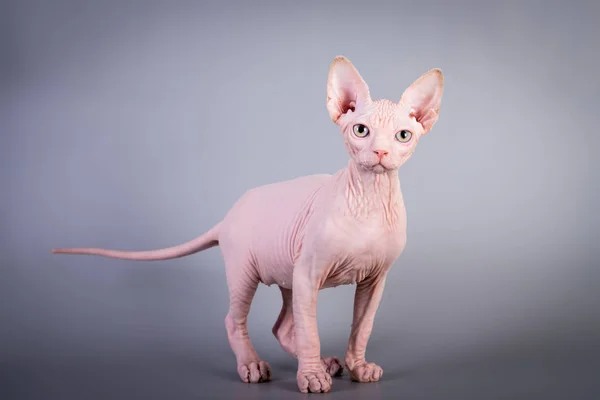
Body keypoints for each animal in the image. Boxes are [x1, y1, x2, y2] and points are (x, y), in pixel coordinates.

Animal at [52, 55, 446, 394]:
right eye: (361, 130)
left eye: (403, 136)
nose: (380, 153)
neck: (370, 198)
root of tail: (229, 215)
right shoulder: (310, 272)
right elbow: (311, 330)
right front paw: (311, 378)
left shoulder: (374, 279)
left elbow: (362, 327)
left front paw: (357, 367)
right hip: (247, 271)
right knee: (238, 319)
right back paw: (257, 366)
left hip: (288, 271)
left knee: (283, 326)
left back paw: (323, 362)